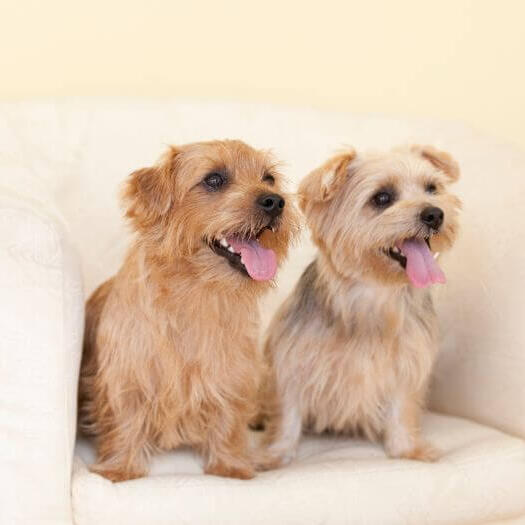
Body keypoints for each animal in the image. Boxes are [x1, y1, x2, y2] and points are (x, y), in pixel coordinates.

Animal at [79, 138, 298, 478]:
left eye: (269, 178)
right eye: (214, 179)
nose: (275, 202)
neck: (198, 292)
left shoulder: (232, 371)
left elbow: (229, 417)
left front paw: (230, 466)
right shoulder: (127, 372)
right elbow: (125, 417)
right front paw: (119, 469)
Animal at [264, 143, 460, 462]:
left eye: (432, 188)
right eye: (382, 198)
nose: (435, 214)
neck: (374, 291)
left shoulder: (407, 365)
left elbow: (401, 409)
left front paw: (407, 449)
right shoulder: (293, 362)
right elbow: (287, 413)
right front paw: (275, 455)